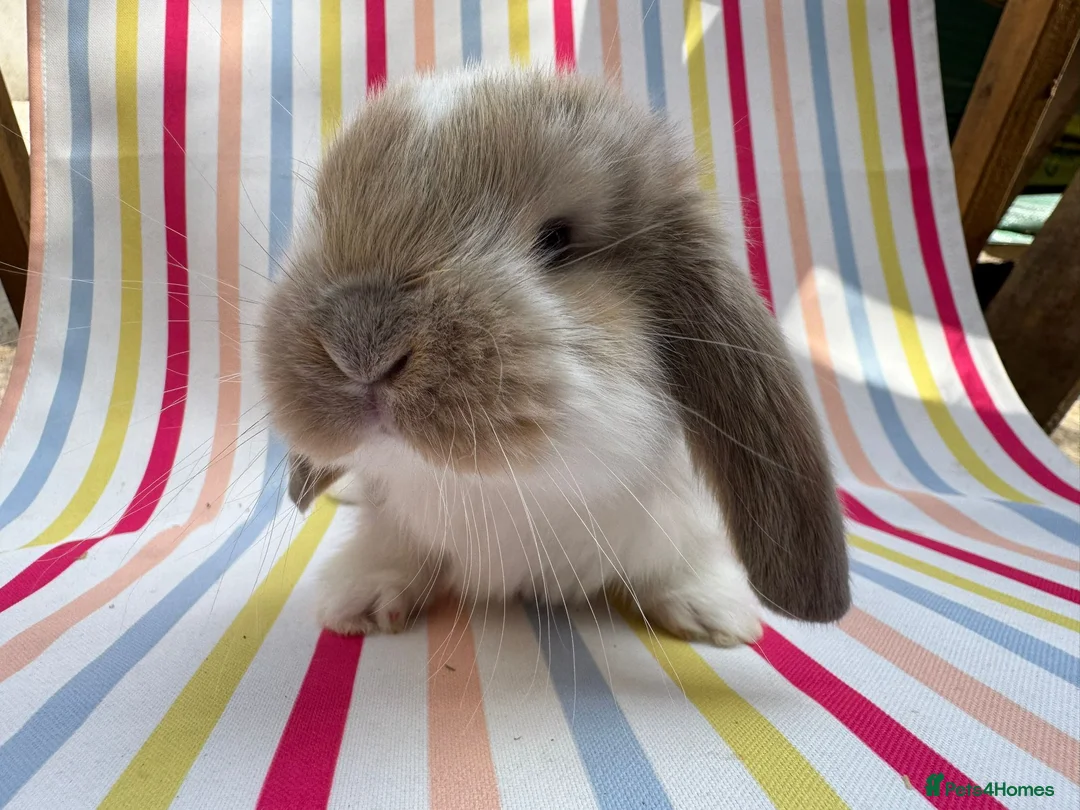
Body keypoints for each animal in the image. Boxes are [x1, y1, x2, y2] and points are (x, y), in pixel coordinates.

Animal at [259, 67, 850, 646]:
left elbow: (680, 560)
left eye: (556, 241)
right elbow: (395, 545)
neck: (507, 489)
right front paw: (361, 596)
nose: (360, 344)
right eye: (324, 219)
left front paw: (712, 610)